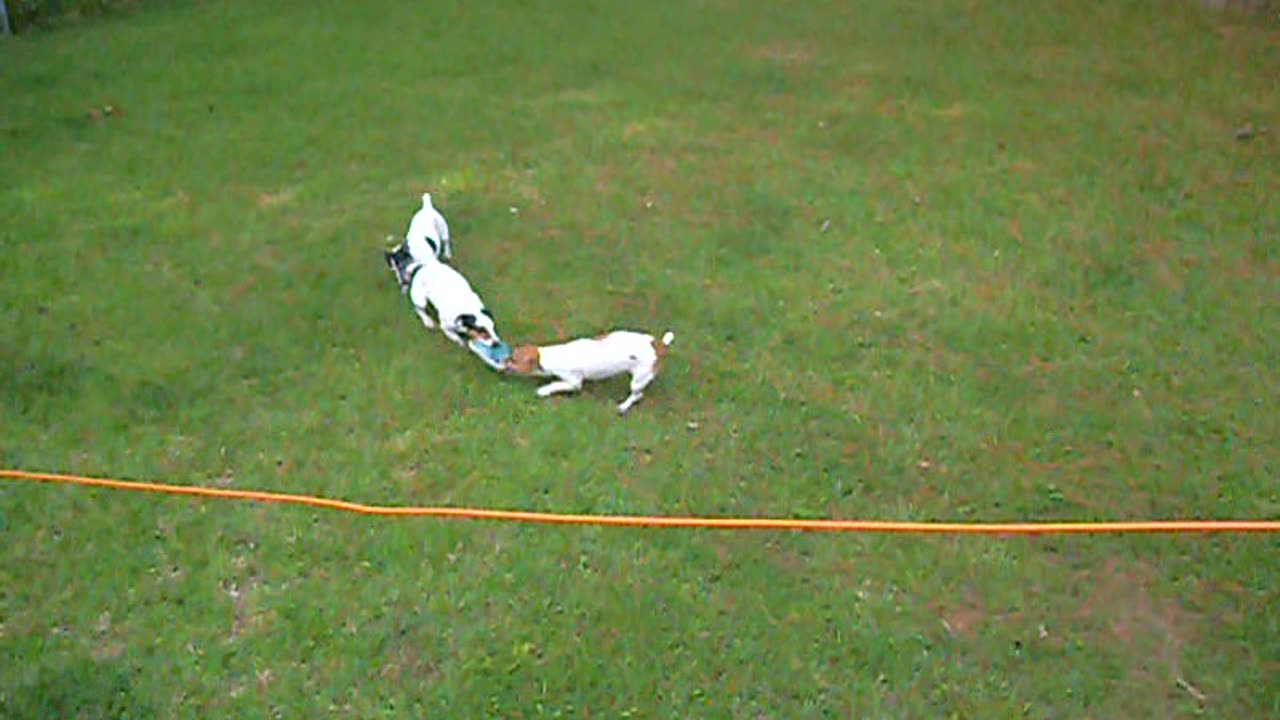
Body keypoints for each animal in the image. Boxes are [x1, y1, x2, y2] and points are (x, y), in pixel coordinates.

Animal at [504, 327, 675, 412]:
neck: (553, 355)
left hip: (638, 380)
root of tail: (660, 345)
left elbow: (557, 385)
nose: (503, 361)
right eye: (512, 355)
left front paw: (544, 390)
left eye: (514, 360)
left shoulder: (574, 382)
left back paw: (623, 407)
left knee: (637, 395)